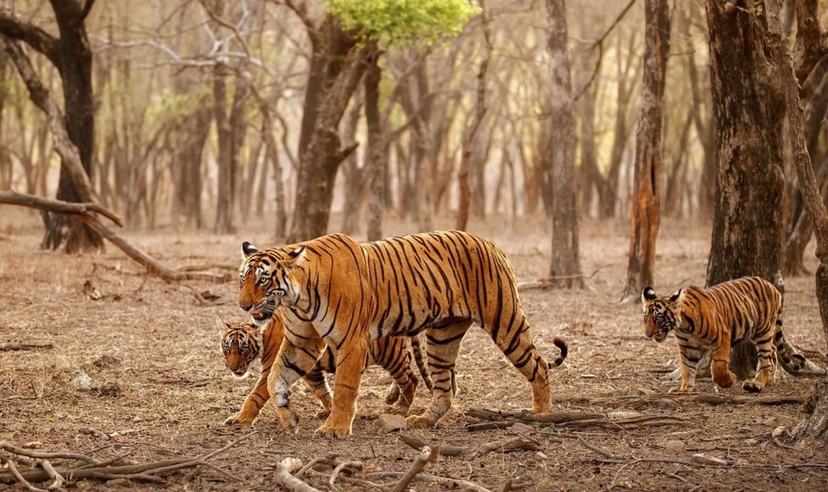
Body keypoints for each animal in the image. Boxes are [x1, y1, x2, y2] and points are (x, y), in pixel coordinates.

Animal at [219, 313, 432, 427]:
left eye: (243, 348)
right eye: (228, 347)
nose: (231, 367)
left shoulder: (271, 370)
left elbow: (254, 396)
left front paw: (240, 419)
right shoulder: (309, 368)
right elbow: (321, 390)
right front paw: (329, 411)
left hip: (389, 354)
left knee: (411, 379)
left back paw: (401, 408)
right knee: (408, 364)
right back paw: (391, 397)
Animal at [641, 276, 805, 393]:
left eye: (658, 318)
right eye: (645, 318)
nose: (648, 335)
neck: (683, 325)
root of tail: (773, 286)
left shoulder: (722, 336)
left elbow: (718, 366)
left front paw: (730, 380)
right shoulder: (687, 346)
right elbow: (686, 368)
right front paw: (685, 389)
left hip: (763, 330)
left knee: (767, 358)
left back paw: (757, 383)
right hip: (755, 332)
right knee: (773, 351)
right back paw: (769, 379)